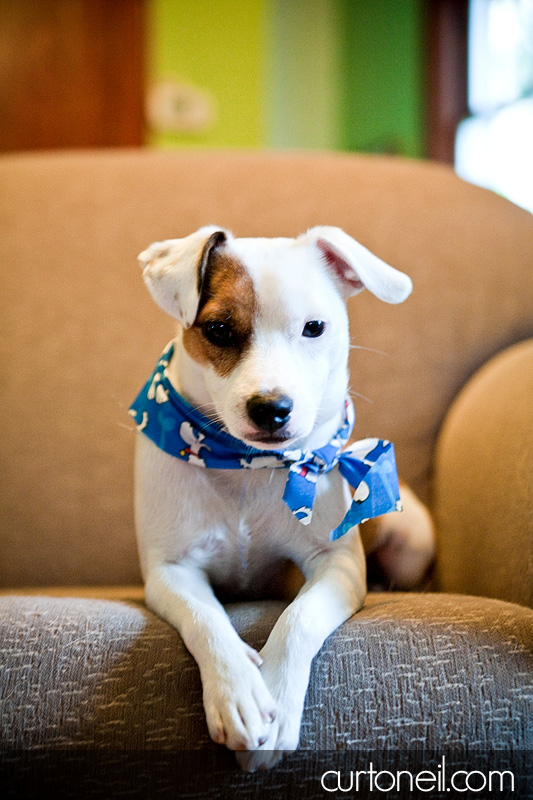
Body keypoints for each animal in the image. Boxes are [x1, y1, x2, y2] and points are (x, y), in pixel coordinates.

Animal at [130, 223, 436, 768]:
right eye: (218, 329)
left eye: (314, 327)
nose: (271, 407)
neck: (247, 466)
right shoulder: (171, 571)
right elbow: (206, 618)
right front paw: (239, 692)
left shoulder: (336, 565)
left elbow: (298, 619)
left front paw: (275, 691)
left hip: (409, 538)